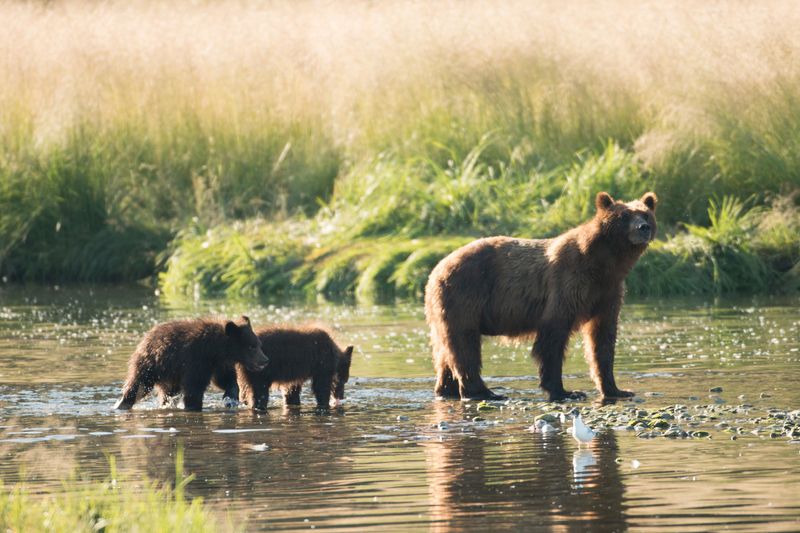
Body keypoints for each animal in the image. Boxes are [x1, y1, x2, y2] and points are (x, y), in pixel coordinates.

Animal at [424, 191, 656, 400]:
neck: (605, 264)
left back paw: (447, 389)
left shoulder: (607, 293)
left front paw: (617, 389)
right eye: (624, 216)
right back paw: (485, 392)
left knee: (446, 351)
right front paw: (565, 391)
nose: (643, 228)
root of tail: (436, 269)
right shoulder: (567, 284)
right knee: (465, 345)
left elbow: (602, 340)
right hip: (464, 296)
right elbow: (553, 337)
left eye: (645, 214)